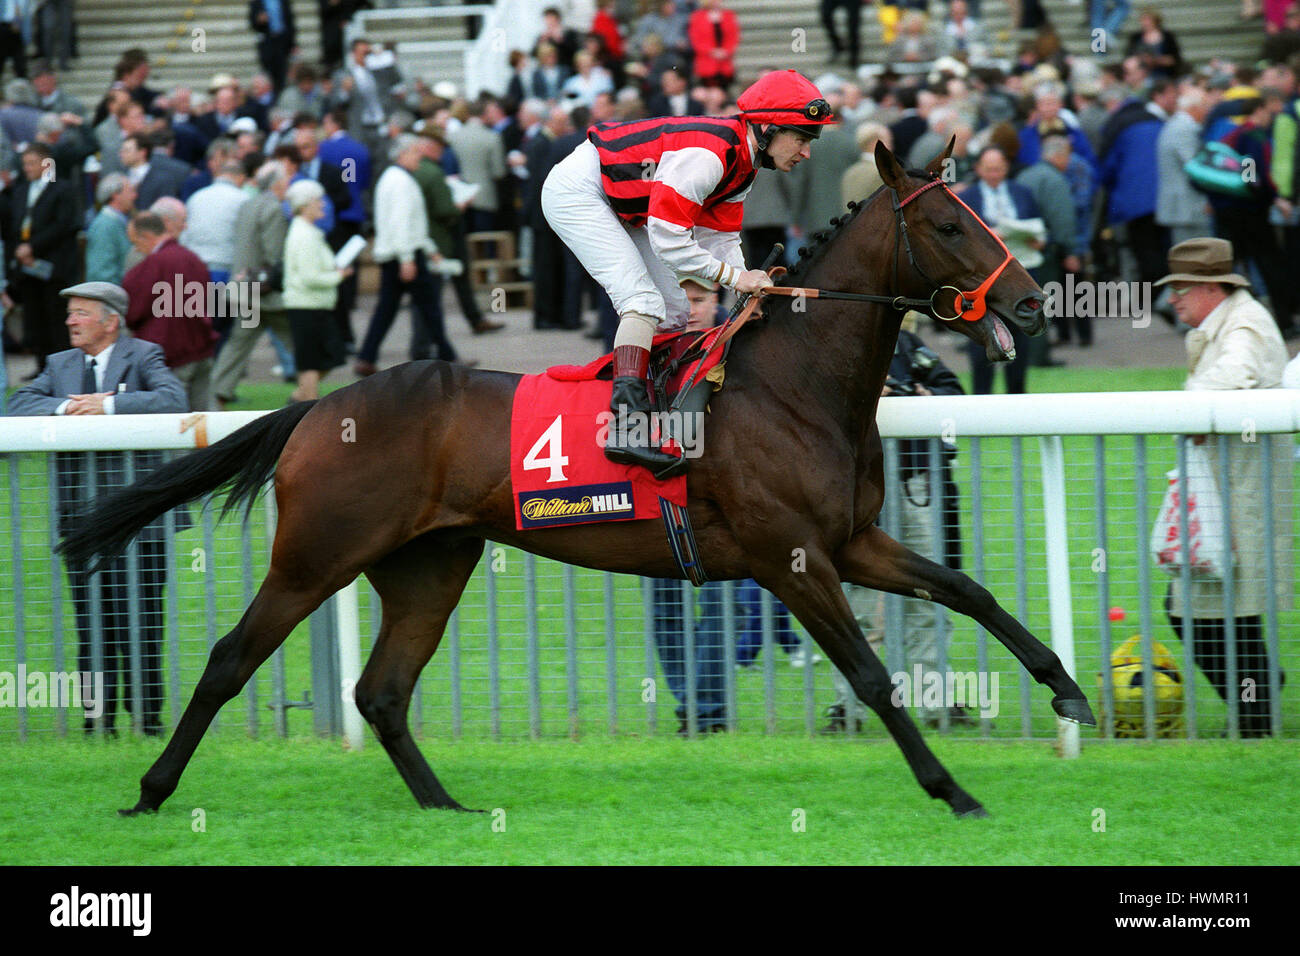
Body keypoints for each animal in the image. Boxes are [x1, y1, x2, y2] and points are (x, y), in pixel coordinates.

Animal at [63, 140, 1097, 816]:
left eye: (980, 215)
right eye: (946, 223)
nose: (1031, 303)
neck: (793, 384)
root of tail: (319, 409)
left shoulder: (852, 540)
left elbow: (966, 588)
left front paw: (1067, 691)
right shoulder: (793, 560)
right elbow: (875, 677)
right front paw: (951, 789)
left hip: (429, 563)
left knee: (383, 692)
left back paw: (445, 807)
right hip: (315, 556)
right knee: (231, 659)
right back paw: (151, 793)